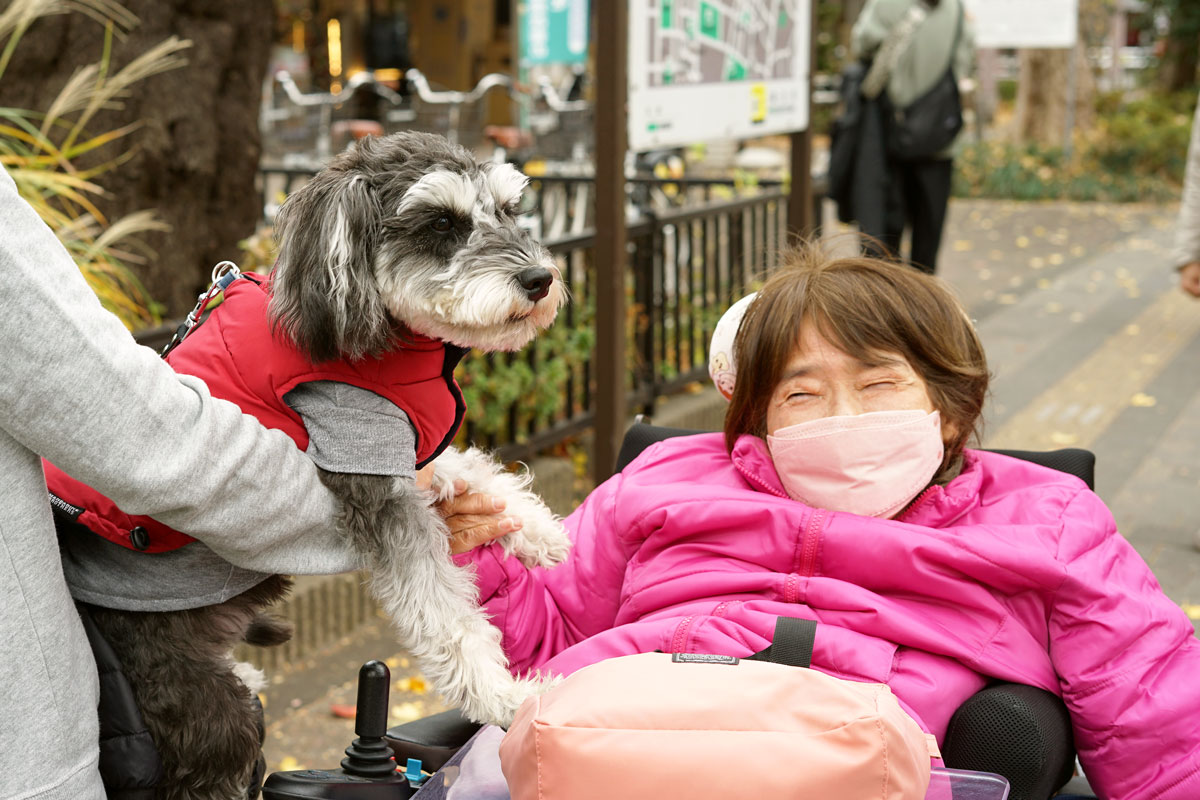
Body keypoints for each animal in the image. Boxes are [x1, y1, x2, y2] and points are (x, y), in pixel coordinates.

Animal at [88, 133, 566, 800]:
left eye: (507, 209)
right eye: (442, 223)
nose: (540, 278)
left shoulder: (395, 449)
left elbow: (460, 464)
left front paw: (536, 526)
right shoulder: (368, 476)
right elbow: (446, 615)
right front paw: (506, 700)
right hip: (196, 708)